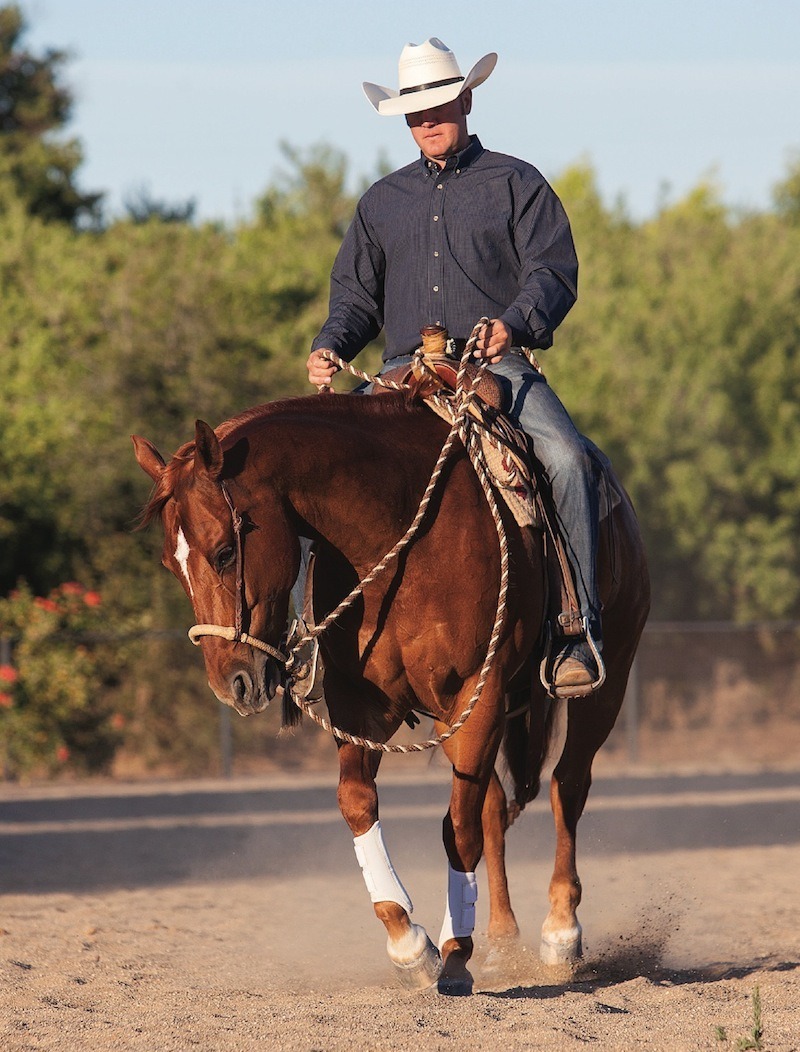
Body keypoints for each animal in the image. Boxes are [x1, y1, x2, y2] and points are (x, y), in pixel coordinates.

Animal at [133, 387, 650, 995]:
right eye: (171, 565)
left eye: (223, 552)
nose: (231, 684)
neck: (400, 535)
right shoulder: (364, 704)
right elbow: (360, 805)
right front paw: (410, 944)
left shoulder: (478, 692)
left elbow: (458, 829)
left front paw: (454, 954)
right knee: (495, 807)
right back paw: (501, 940)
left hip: (602, 684)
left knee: (567, 786)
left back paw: (560, 932)